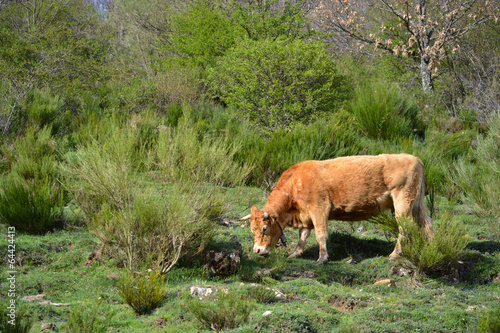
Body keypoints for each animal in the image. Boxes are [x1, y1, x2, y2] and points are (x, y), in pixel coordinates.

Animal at [238, 152, 434, 262]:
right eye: (252, 229)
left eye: (264, 228)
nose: (257, 250)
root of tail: (414, 158)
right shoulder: (305, 216)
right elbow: (303, 236)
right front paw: (296, 253)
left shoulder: (319, 209)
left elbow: (320, 234)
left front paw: (322, 258)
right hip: (417, 205)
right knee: (428, 224)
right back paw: (432, 247)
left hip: (403, 202)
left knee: (405, 228)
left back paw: (395, 254)